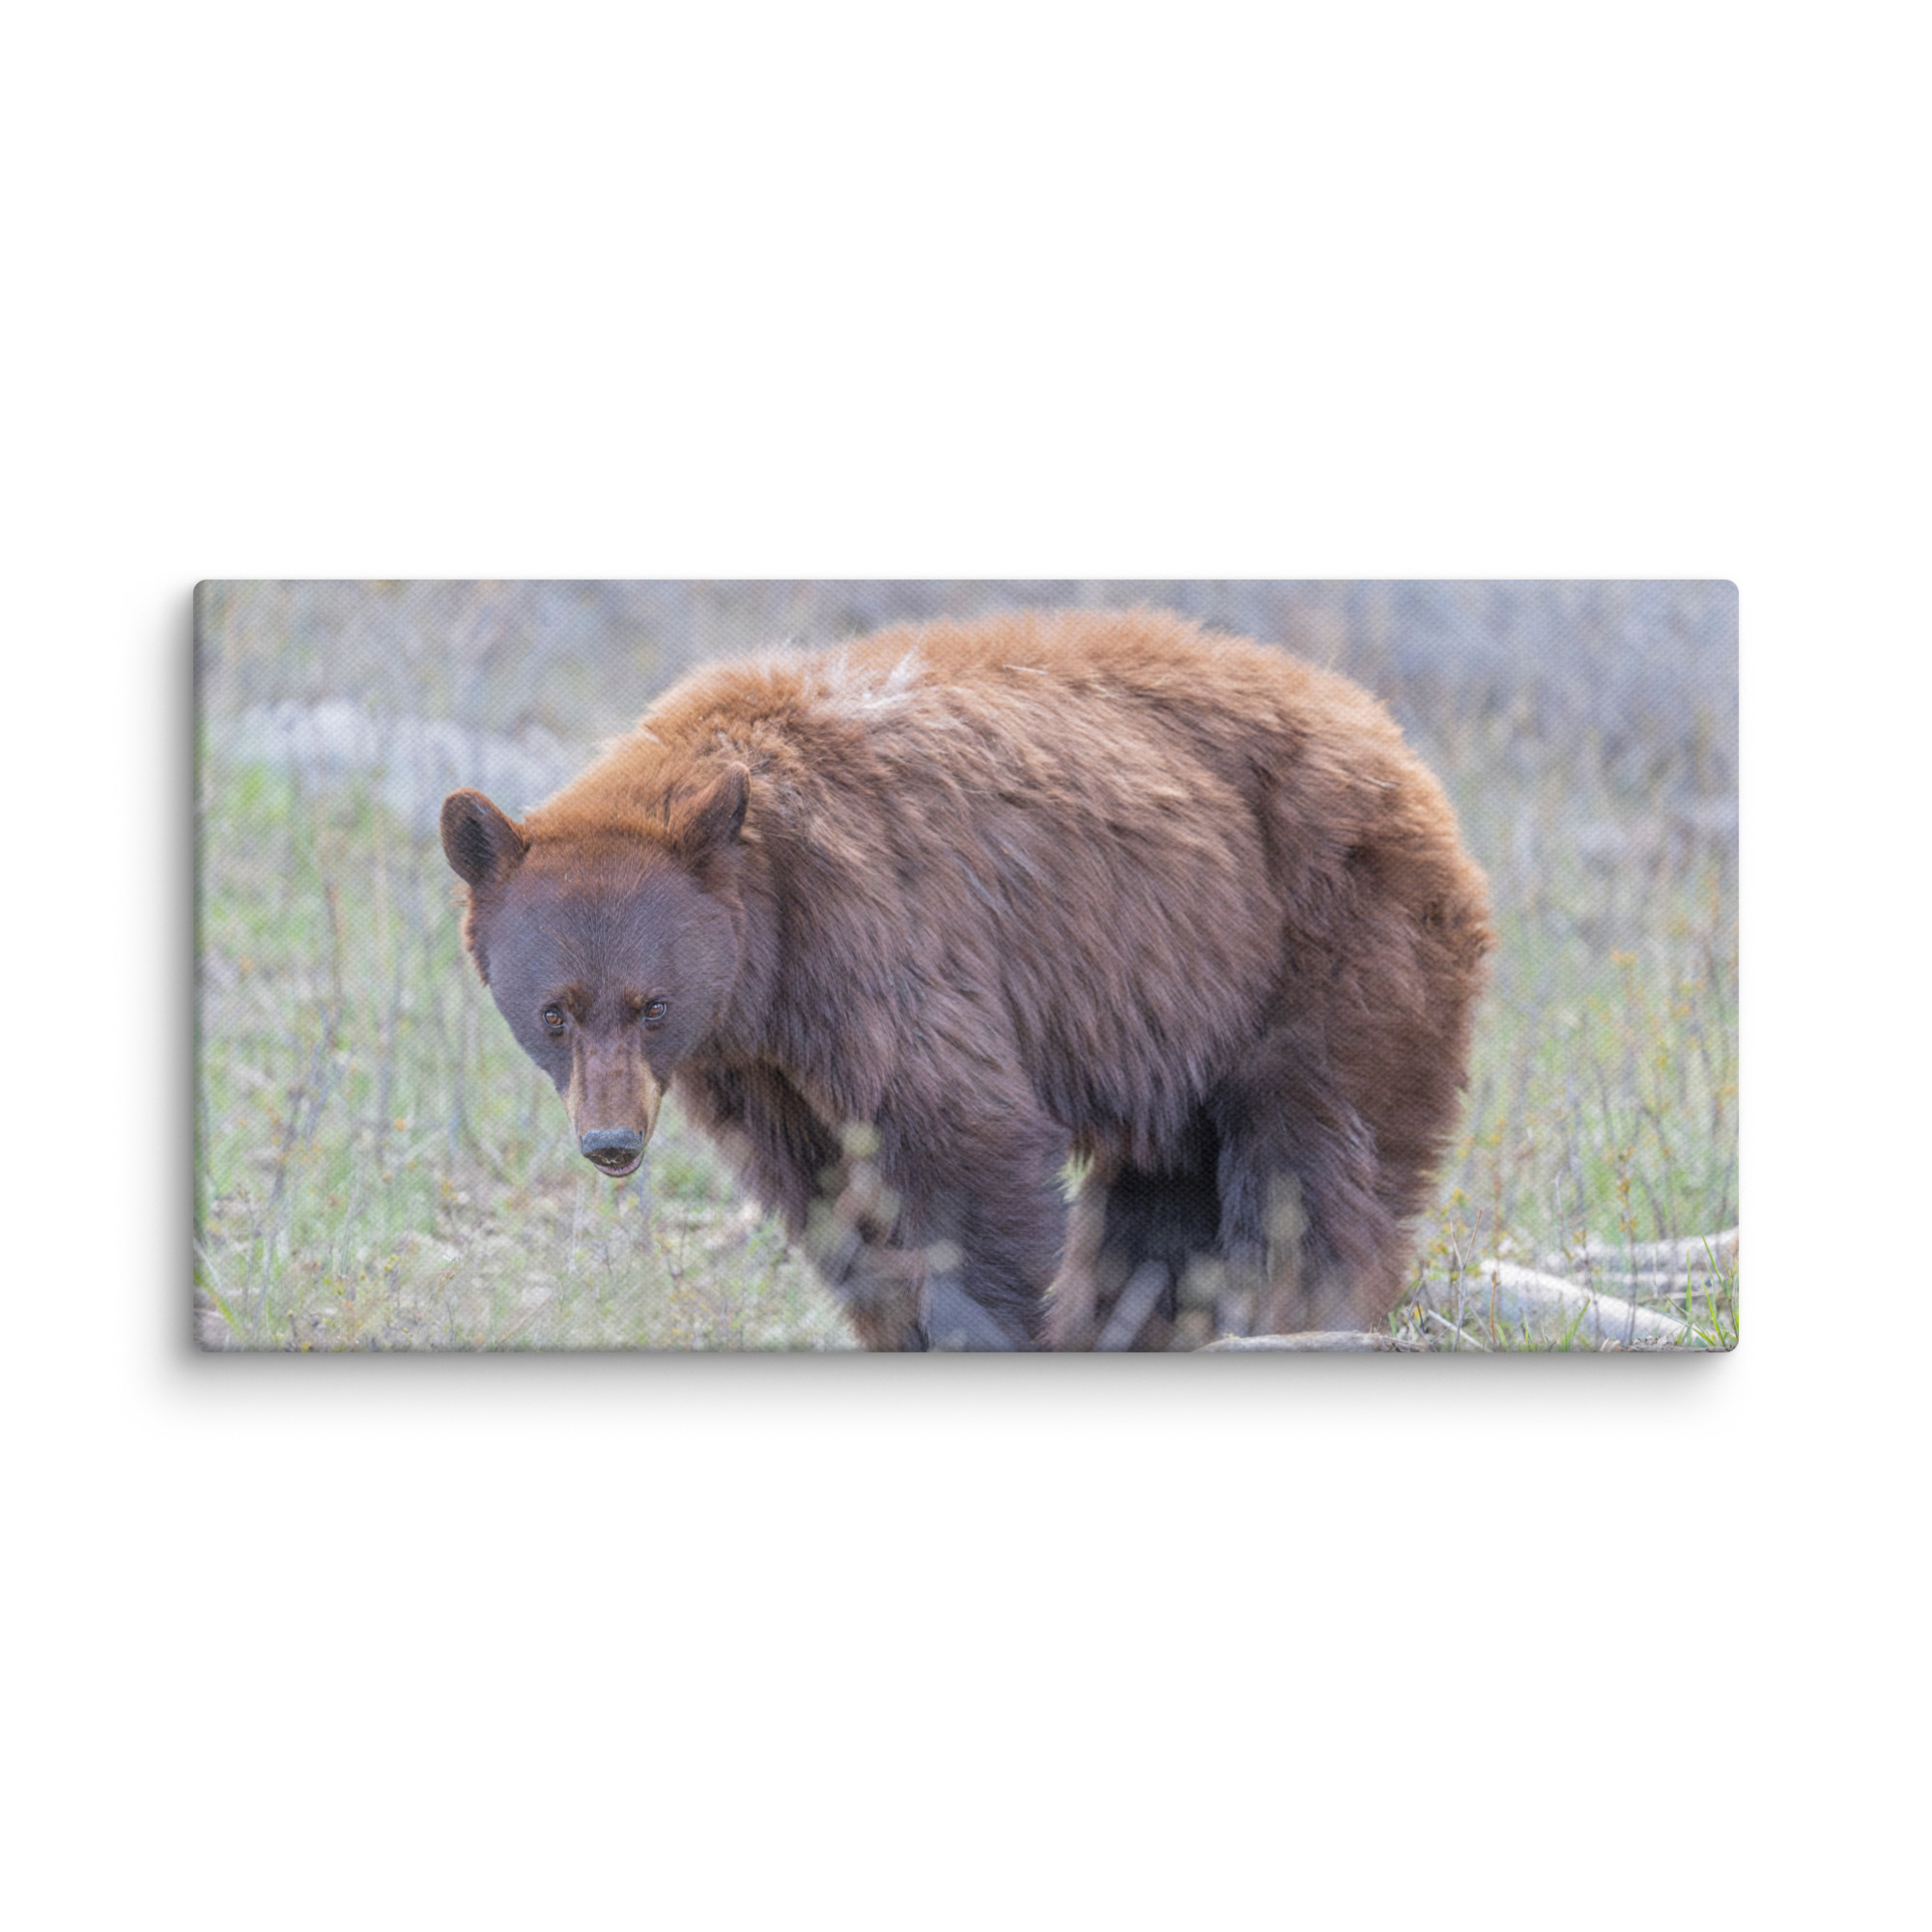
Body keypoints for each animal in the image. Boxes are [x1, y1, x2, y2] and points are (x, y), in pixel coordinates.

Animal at [440, 608, 1492, 1350]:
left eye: (651, 1006)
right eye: (554, 1012)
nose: (611, 1141)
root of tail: (1390, 737)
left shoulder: (876, 937)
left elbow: (959, 1138)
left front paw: (983, 1327)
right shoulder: (759, 1062)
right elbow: (828, 1191)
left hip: (1324, 941)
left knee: (1312, 1162)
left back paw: (1290, 1314)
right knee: (1164, 1194)